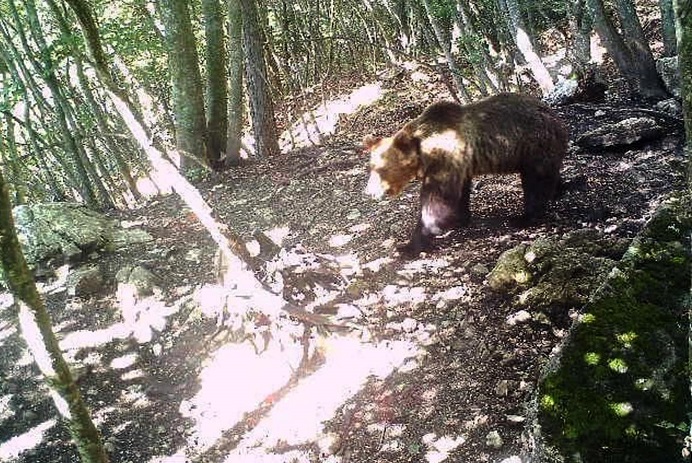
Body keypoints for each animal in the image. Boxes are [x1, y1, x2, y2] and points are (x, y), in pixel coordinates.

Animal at [364, 92, 568, 255]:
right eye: (371, 167)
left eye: (381, 169)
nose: (369, 192)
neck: (423, 153)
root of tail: (553, 115)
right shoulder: (460, 164)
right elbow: (459, 193)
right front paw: (458, 218)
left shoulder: (444, 159)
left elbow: (437, 199)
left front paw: (410, 244)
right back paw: (560, 190)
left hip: (532, 145)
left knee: (536, 182)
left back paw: (523, 218)